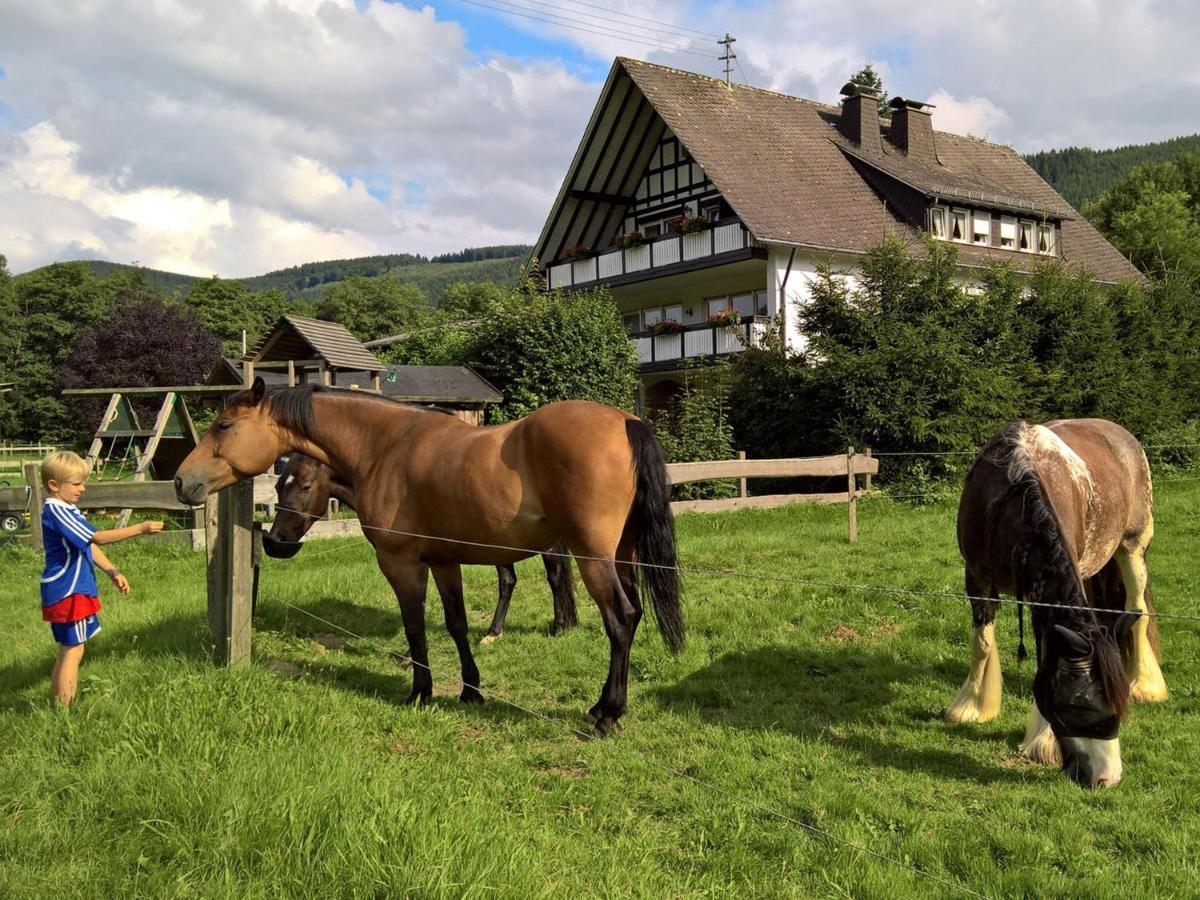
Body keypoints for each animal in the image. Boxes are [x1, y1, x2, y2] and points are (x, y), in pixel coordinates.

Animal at [264, 458, 580, 643]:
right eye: (278, 485)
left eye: (305, 486)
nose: (277, 538)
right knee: (510, 581)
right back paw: (494, 633)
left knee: (553, 577)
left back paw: (557, 627)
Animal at [945, 422, 1161, 787]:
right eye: (1081, 705)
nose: (1107, 778)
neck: (1011, 498)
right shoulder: (977, 581)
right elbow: (982, 643)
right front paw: (972, 706)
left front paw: (1043, 742)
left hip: (1134, 547)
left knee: (1140, 614)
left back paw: (1146, 685)